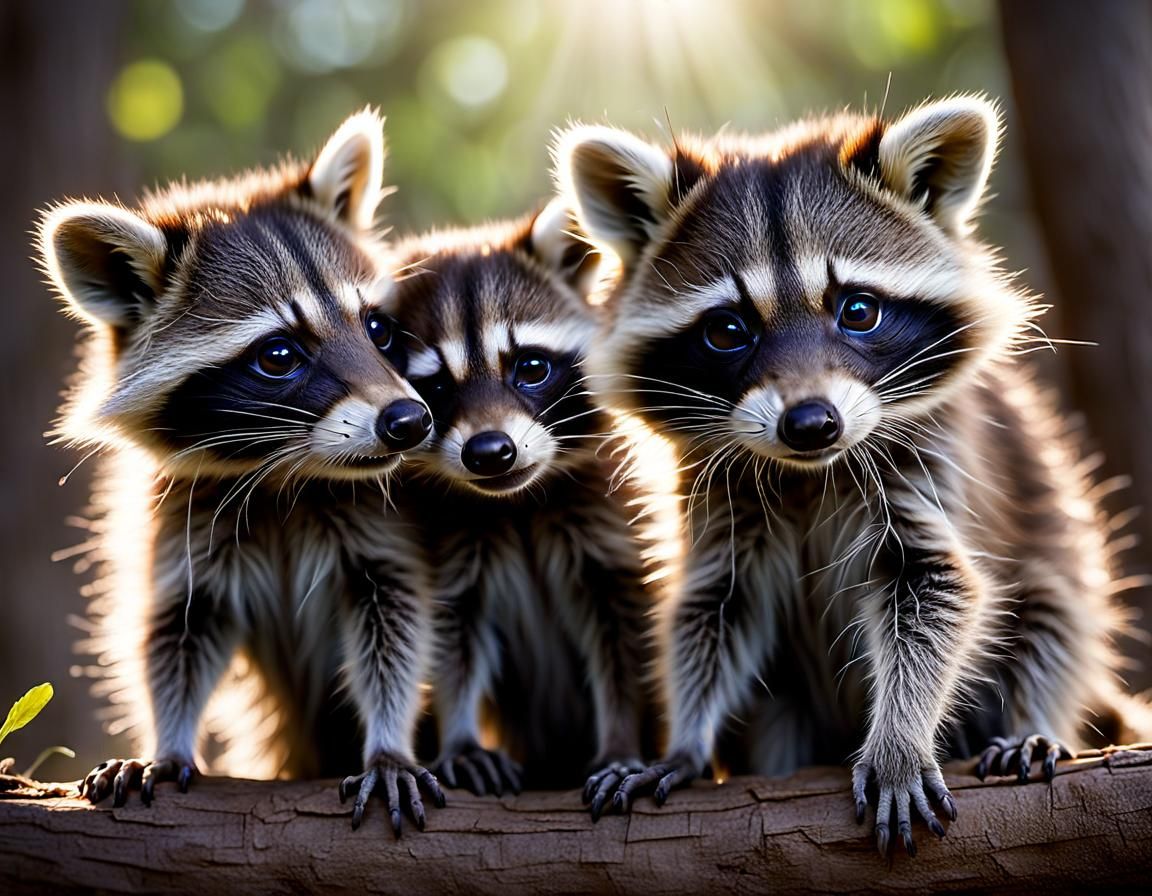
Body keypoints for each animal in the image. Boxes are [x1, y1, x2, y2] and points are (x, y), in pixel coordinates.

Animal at [39, 111, 444, 834]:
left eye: (376, 327)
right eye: (279, 355)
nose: (408, 421)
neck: (281, 470)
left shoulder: (380, 524)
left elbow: (395, 623)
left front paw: (390, 741)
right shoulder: (178, 522)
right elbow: (174, 634)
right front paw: (168, 739)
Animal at [383, 201, 656, 815]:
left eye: (530, 368)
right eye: (436, 389)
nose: (489, 453)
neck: (518, 501)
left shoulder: (614, 528)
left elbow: (625, 645)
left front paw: (622, 740)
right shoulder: (453, 543)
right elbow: (453, 640)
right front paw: (460, 736)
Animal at [555, 96, 1151, 854]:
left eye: (857, 310)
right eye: (728, 330)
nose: (812, 424)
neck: (811, 471)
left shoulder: (930, 467)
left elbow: (935, 590)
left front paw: (900, 738)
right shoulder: (720, 499)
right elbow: (711, 608)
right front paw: (687, 741)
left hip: (1054, 535)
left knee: (1057, 612)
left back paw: (1033, 722)